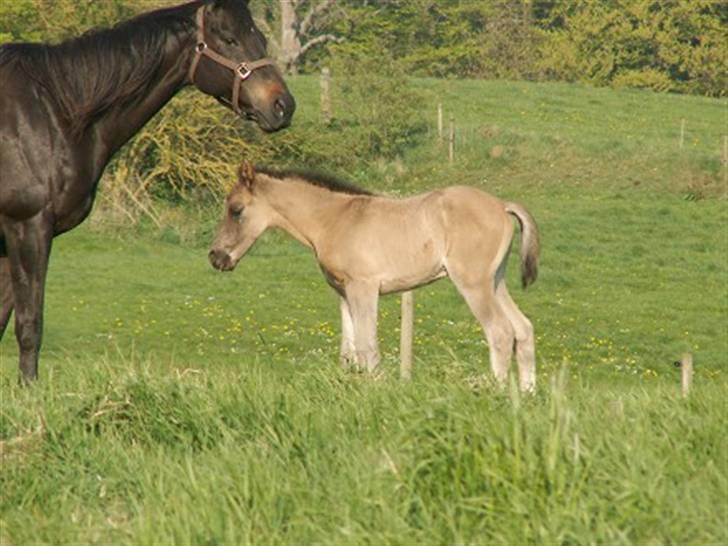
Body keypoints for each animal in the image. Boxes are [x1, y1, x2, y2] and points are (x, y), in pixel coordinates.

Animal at [0, 1, 296, 382]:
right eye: (229, 39)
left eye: (259, 37)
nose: (283, 106)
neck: (52, 112)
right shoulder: (28, 226)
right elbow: (29, 323)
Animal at [208, 159, 536, 388]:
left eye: (236, 210)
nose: (216, 257)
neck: (335, 219)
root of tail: (502, 205)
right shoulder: (343, 292)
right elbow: (349, 349)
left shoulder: (363, 287)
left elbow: (367, 346)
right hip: (496, 281)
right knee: (523, 328)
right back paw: (528, 395)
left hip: (473, 284)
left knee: (500, 331)